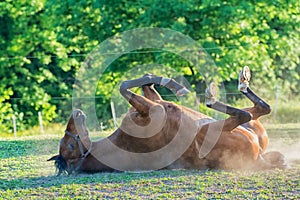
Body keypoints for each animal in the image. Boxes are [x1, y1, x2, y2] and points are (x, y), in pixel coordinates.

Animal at [48, 66, 284, 175]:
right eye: (70, 146)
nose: (76, 113)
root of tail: (258, 159)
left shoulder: (155, 103)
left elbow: (144, 84)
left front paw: (168, 82)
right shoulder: (154, 110)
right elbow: (124, 86)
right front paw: (178, 86)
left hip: (252, 127)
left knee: (261, 109)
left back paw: (243, 79)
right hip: (216, 129)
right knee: (245, 114)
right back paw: (214, 94)